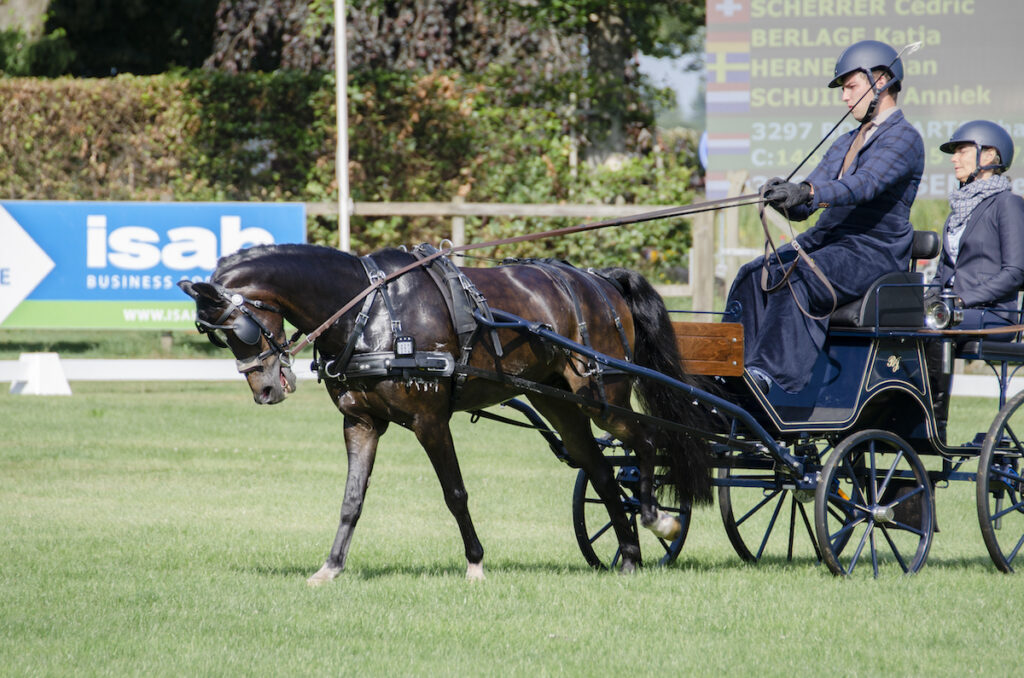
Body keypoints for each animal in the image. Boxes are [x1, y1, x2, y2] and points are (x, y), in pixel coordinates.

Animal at [178, 243, 711, 583]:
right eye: (216, 337)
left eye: (239, 330)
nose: (266, 389)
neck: (373, 311)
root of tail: (599, 281)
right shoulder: (361, 423)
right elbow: (352, 499)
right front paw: (330, 568)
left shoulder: (431, 420)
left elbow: (455, 493)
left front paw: (475, 564)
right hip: (559, 401)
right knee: (600, 472)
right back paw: (629, 558)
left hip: (604, 395)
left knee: (644, 443)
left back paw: (658, 520)